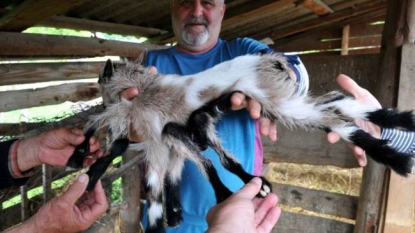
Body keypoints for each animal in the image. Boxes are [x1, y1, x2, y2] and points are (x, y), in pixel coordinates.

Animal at [66, 53, 415, 233]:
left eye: (100, 79)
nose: (98, 86)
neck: (143, 87)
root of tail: (272, 60)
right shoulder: (178, 133)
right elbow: (197, 166)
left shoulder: (152, 130)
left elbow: (148, 181)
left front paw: (81, 164)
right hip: (281, 102)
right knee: (338, 107)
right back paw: (399, 130)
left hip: (277, 101)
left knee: (336, 116)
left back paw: (398, 157)